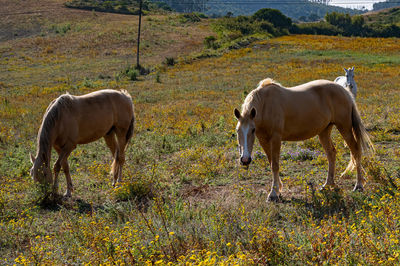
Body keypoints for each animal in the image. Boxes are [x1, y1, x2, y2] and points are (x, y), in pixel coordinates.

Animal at [233, 78, 374, 202]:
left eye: (252, 130)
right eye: (237, 130)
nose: (245, 160)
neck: (265, 105)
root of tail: (345, 91)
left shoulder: (276, 138)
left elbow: (275, 165)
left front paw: (273, 194)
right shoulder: (263, 139)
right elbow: (271, 162)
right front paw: (278, 190)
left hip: (344, 127)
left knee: (355, 150)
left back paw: (358, 186)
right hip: (324, 131)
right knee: (331, 154)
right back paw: (328, 185)